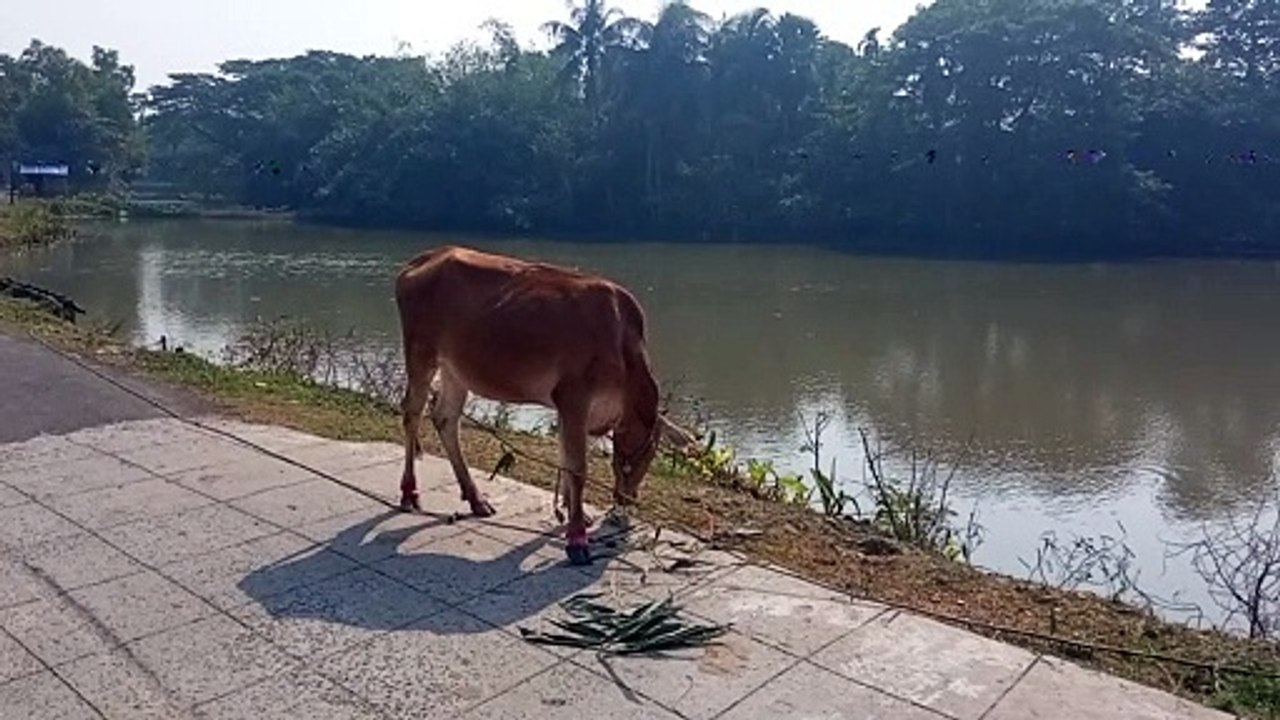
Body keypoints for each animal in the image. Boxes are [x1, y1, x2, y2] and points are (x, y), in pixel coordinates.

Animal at [393, 245, 696, 565]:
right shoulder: (574, 398)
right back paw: (409, 493)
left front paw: (575, 514)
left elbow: (566, 459)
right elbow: (578, 469)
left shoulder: (576, 412)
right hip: (421, 353)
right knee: (412, 412)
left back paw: (476, 499)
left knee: (446, 419)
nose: (625, 502)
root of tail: (425, 257)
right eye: (645, 454)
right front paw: (577, 538)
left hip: (456, 369)